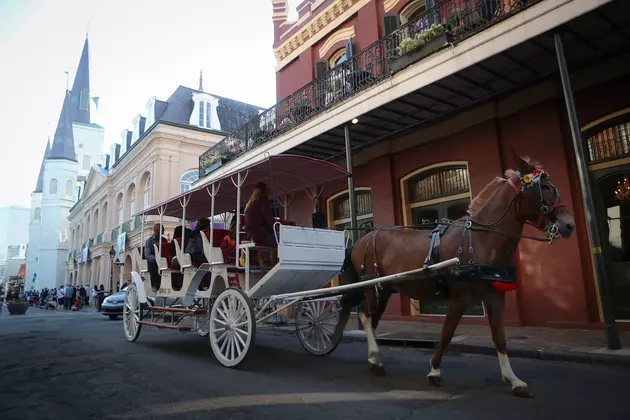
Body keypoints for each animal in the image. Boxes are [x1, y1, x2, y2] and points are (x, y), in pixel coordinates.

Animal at [336, 154, 576, 398]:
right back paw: (375, 357)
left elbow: (500, 338)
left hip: (384, 289)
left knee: (372, 320)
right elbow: (446, 334)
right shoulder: (460, 298)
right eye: (544, 187)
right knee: (366, 317)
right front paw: (434, 371)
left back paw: (373, 359)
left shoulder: (495, 297)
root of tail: (362, 239)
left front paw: (514, 380)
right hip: (371, 286)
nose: (569, 225)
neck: (481, 241)